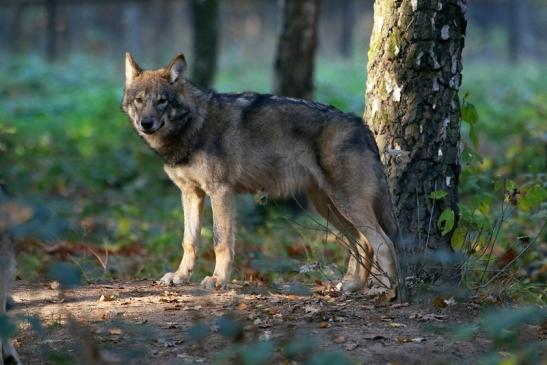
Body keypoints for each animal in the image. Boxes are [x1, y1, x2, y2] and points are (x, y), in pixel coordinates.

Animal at [122, 52, 400, 298]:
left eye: (162, 101)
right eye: (139, 100)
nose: (146, 123)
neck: (193, 125)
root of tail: (361, 125)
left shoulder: (220, 192)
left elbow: (220, 242)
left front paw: (218, 279)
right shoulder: (191, 193)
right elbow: (189, 240)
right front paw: (180, 276)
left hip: (346, 204)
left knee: (383, 243)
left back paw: (387, 292)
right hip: (329, 207)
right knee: (363, 244)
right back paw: (352, 286)